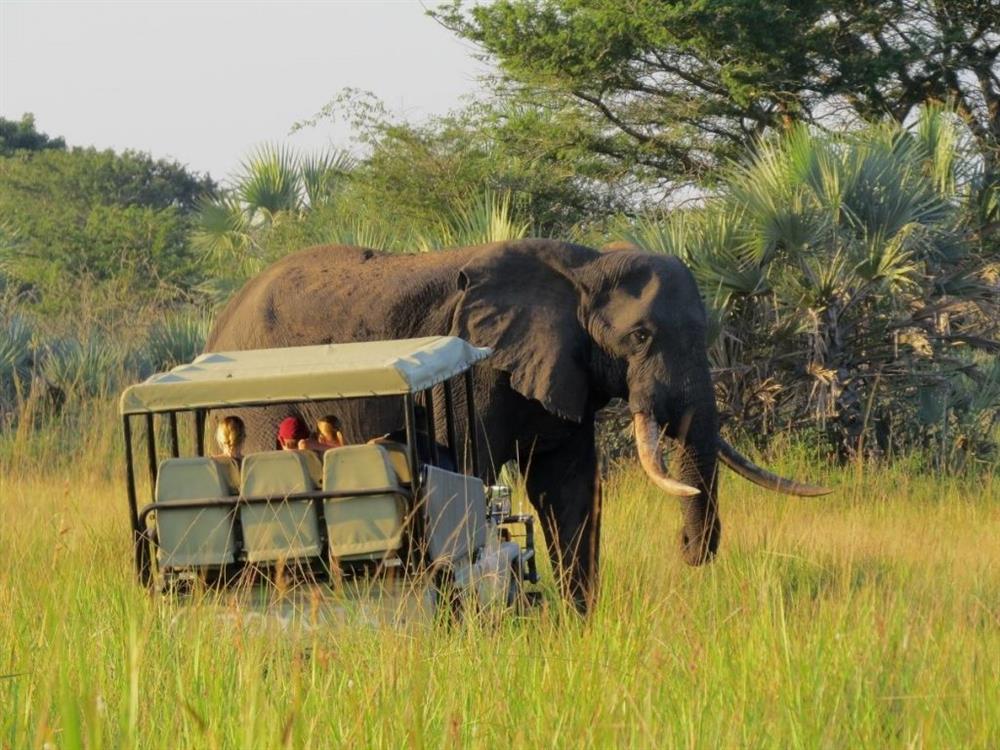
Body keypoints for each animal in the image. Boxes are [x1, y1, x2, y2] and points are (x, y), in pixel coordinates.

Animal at [207, 241, 832, 612]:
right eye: (640, 337)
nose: (686, 547)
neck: (582, 267)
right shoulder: (479, 370)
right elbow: (468, 474)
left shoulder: (565, 367)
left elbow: (569, 489)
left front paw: (579, 627)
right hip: (261, 411)